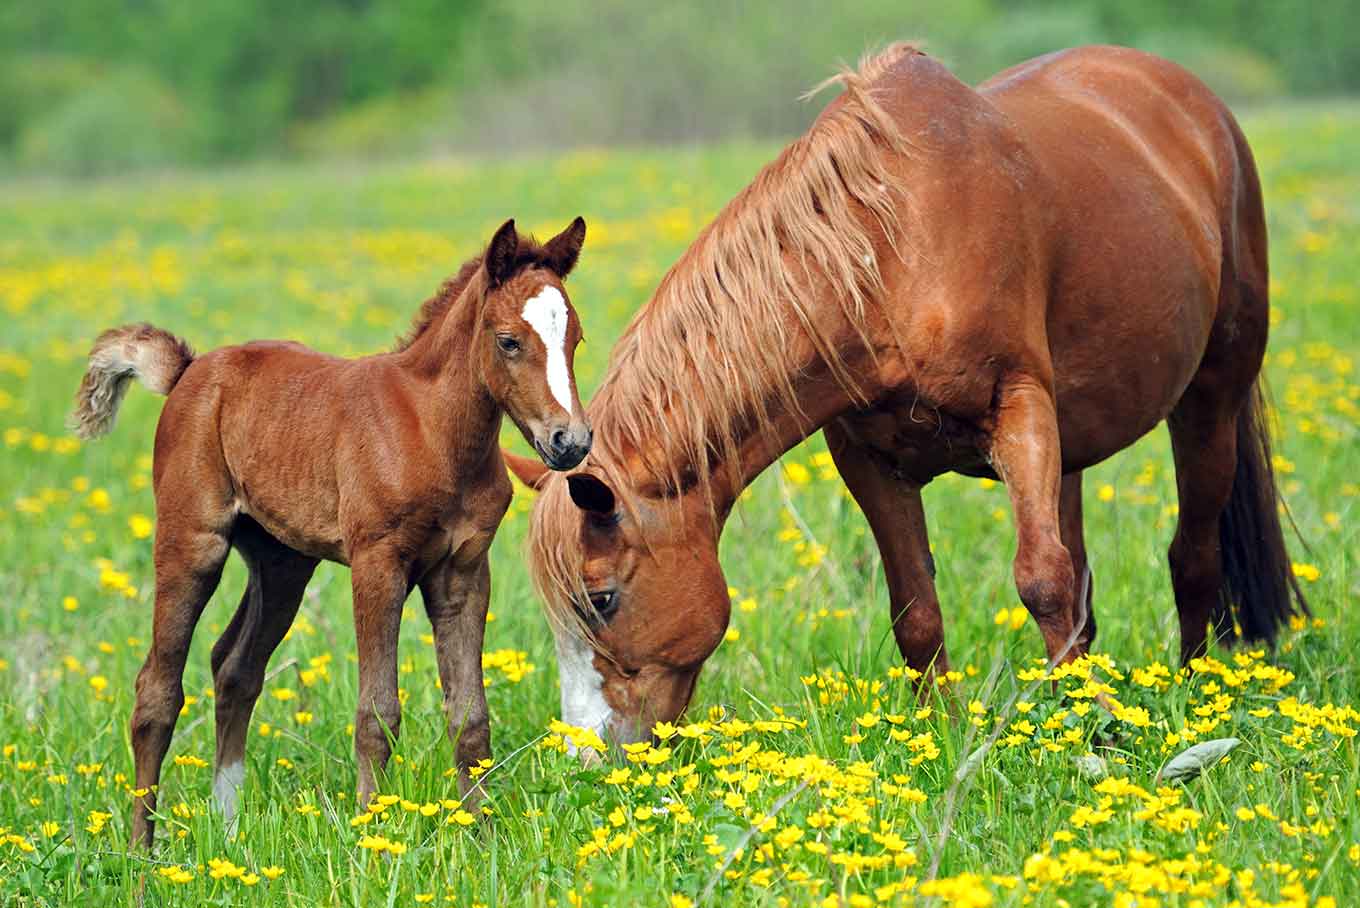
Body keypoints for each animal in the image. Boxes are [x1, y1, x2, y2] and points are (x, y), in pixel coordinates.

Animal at [71, 217, 592, 847]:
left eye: (575, 339)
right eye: (509, 341)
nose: (571, 441)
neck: (432, 430)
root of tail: (189, 370)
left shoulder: (464, 571)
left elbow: (470, 715)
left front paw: (483, 834)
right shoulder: (377, 563)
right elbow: (377, 712)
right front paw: (372, 830)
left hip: (282, 563)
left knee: (235, 667)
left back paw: (228, 826)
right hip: (192, 541)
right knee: (157, 690)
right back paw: (140, 851)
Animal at [507, 44, 1307, 748]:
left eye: (601, 599)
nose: (589, 753)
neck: (895, 251)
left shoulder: (1019, 408)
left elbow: (1041, 580)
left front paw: (1100, 732)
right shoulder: (869, 459)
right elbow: (917, 611)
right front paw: (941, 736)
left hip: (1211, 396)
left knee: (1191, 554)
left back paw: (1194, 692)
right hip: (1075, 444)